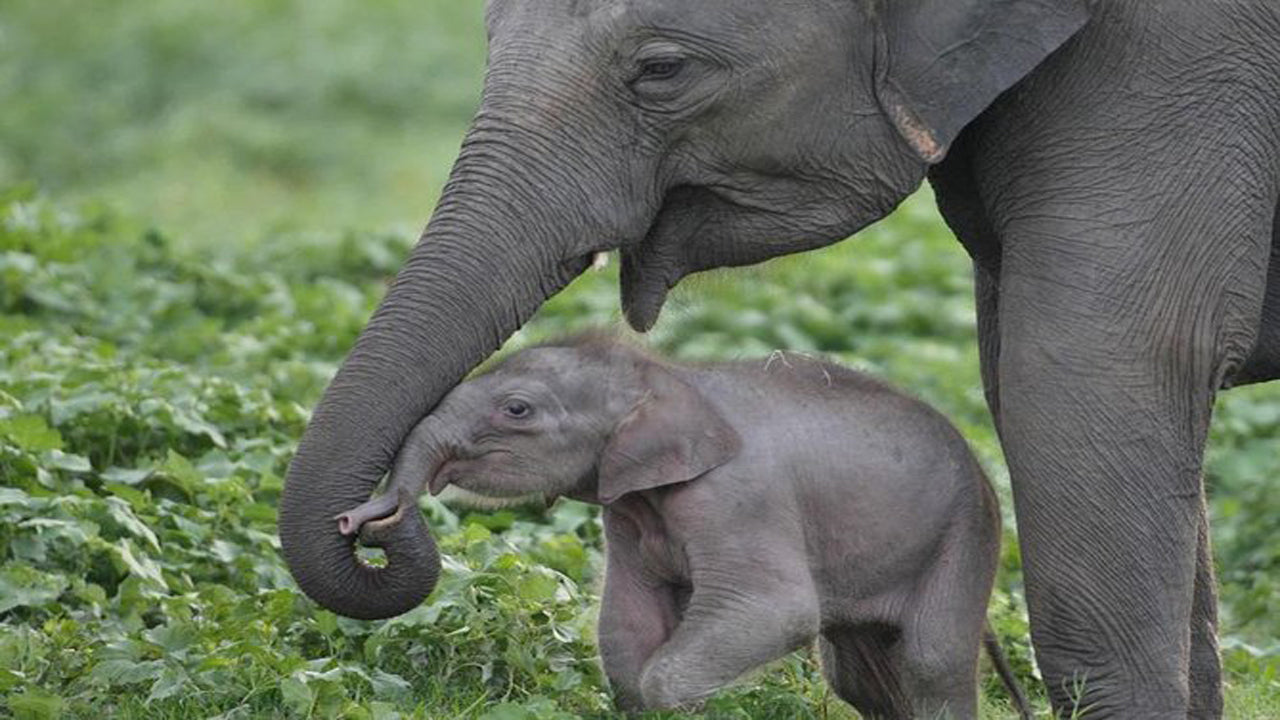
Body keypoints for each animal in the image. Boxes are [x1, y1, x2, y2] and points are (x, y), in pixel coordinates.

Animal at [335, 336, 1032, 718]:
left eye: (517, 410)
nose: (360, 519)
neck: (669, 377)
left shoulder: (740, 497)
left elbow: (774, 610)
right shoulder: (627, 510)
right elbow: (628, 621)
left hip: (965, 538)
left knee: (930, 664)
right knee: (862, 675)